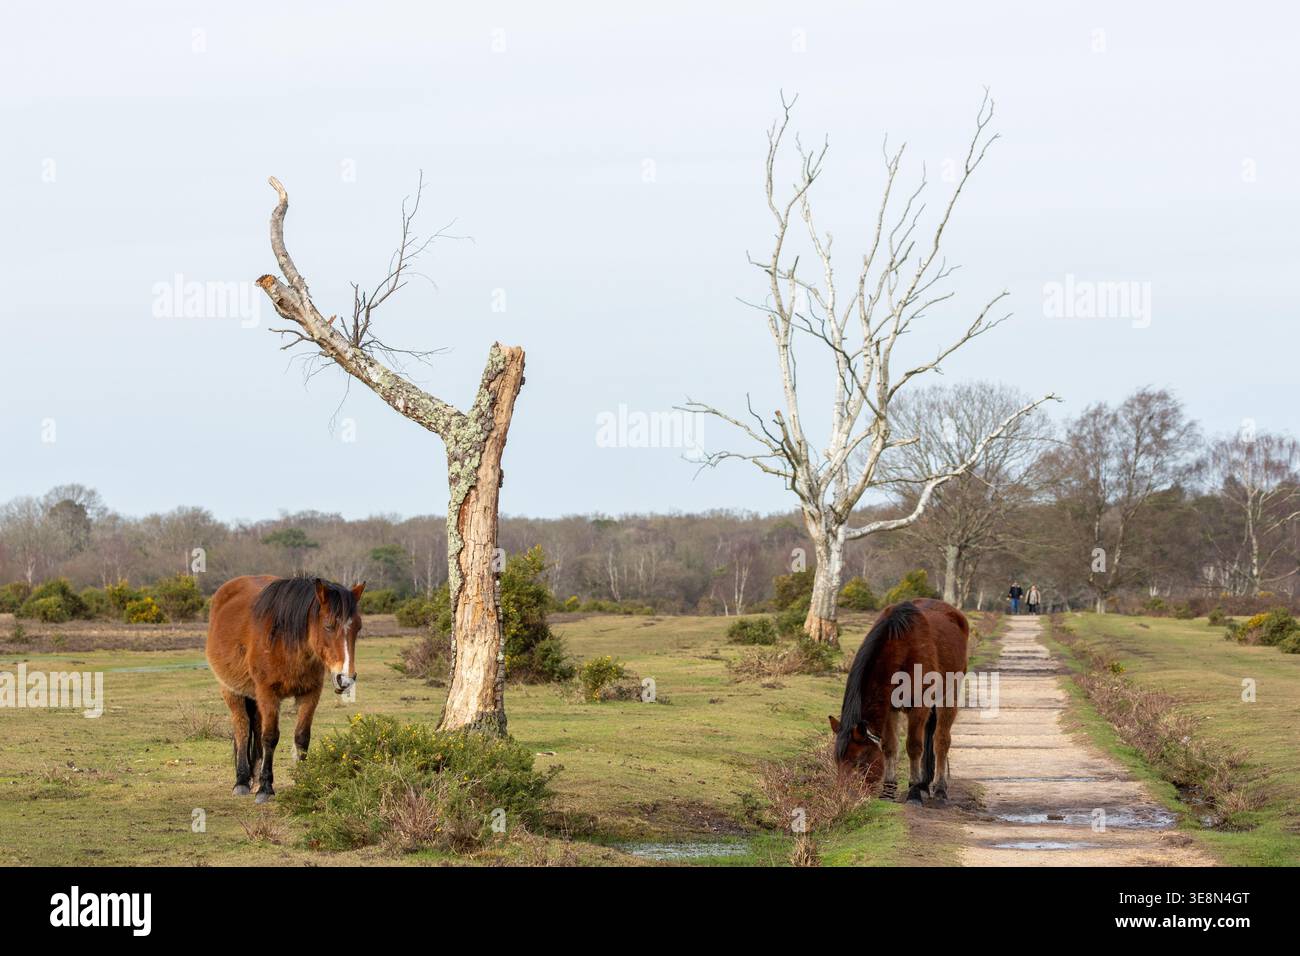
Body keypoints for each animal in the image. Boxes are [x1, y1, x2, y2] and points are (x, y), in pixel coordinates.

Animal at [205, 575, 365, 803]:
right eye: (328, 626)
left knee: (255, 727)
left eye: (358, 628)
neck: (285, 641)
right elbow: (270, 737)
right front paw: (265, 788)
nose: (346, 679)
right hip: (231, 691)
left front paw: (304, 780)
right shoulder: (268, 693)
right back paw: (242, 781)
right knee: (242, 728)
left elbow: (302, 737)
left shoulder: (310, 694)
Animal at [828, 598, 969, 804]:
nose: (844, 797)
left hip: (949, 696)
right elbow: (889, 747)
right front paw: (888, 791)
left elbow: (914, 746)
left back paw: (940, 789)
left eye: (859, 761)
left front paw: (914, 792)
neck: (902, 648)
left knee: (941, 741)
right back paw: (925, 784)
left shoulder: (919, 707)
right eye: (837, 760)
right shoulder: (890, 708)